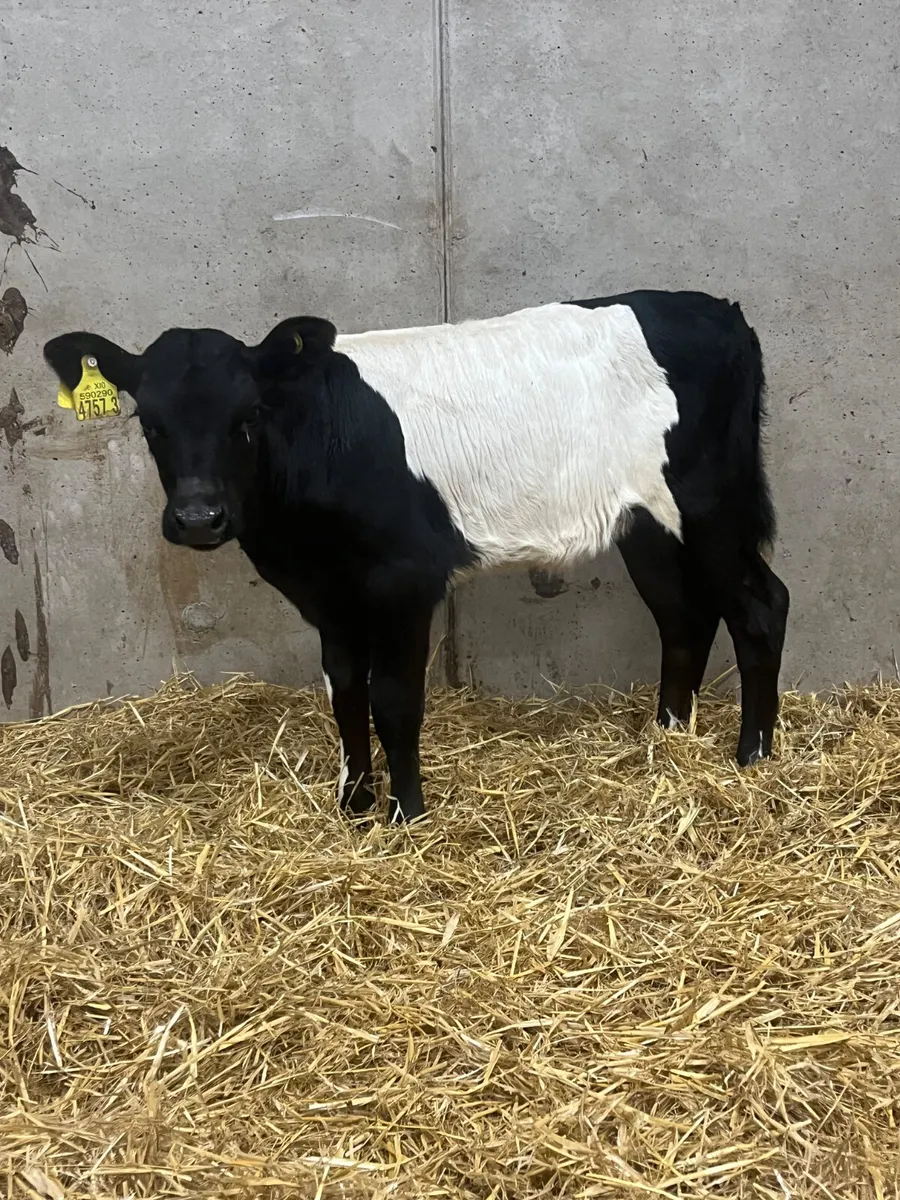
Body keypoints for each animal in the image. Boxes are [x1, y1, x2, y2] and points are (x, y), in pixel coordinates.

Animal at [44, 290, 790, 823]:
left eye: (248, 416)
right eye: (150, 422)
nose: (199, 518)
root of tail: (721, 310)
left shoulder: (404, 580)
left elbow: (395, 700)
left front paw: (407, 816)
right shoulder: (326, 594)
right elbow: (345, 692)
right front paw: (353, 805)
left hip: (710, 505)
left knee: (760, 606)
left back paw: (752, 756)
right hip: (648, 526)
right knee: (684, 618)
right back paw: (667, 741)